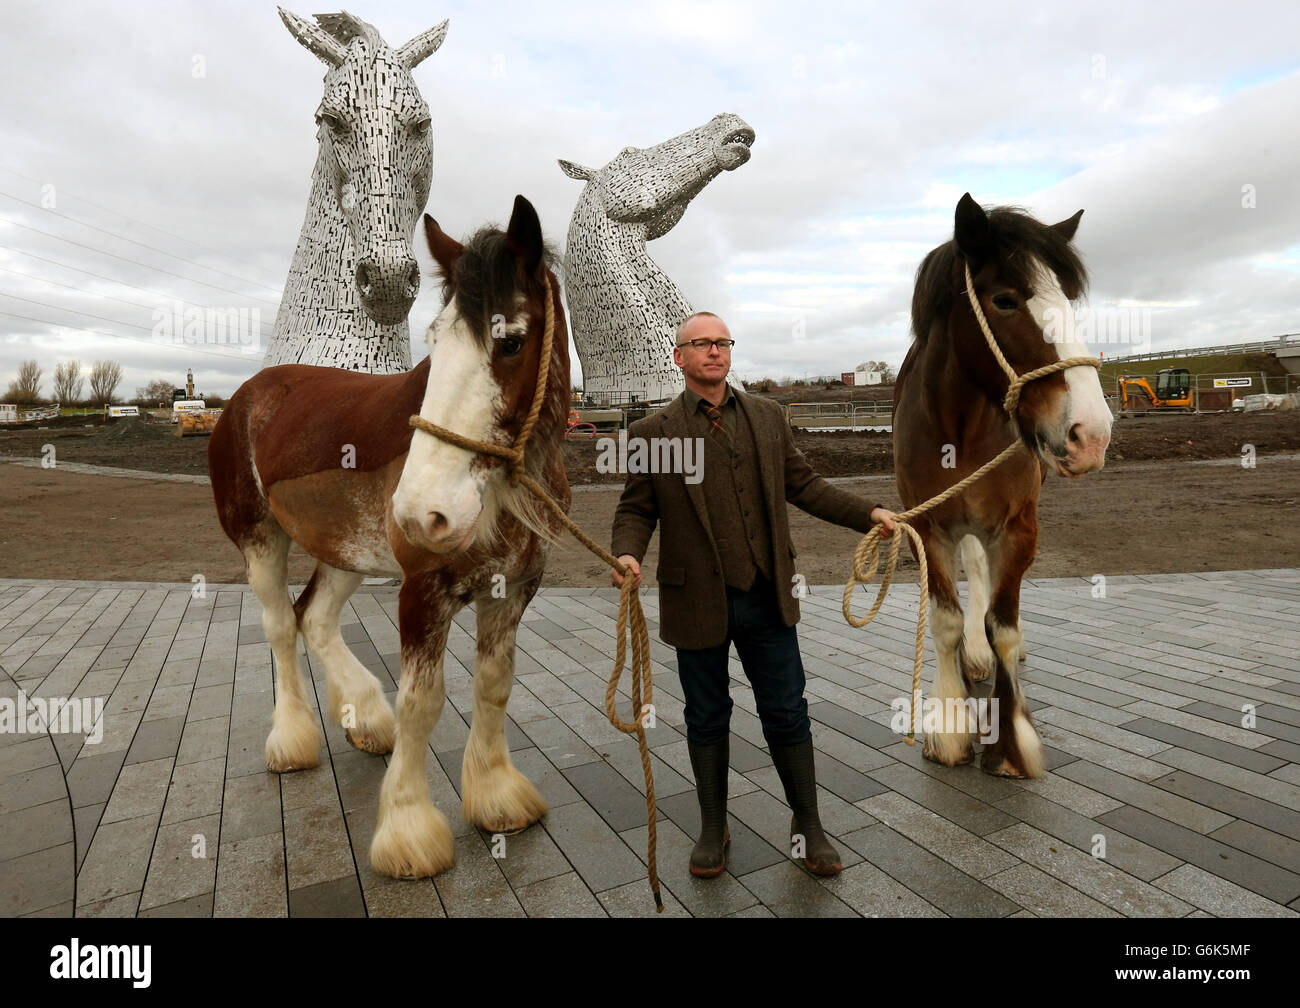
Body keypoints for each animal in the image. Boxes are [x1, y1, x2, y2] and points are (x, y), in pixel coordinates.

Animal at [209, 195, 569, 874]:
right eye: (434, 341)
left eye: (510, 341)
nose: (423, 513)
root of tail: (248, 393)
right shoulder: (422, 592)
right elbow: (422, 703)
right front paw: (407, 830)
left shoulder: (513, 590)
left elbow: (494, 686)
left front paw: (496, 796)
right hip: (261, 540)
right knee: (280, 625)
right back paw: (293, 739)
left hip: (346, 551)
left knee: (315, 617)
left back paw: (365, 719)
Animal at [899, 195, 1112, 780]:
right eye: (1005, 300)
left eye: (1068, 299)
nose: (1092, 433)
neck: (959, 430)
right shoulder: (925, 528)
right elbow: (947, 621)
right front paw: (951, 725)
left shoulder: (1019, 528)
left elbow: (1005, 624)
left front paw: (1012, 740)